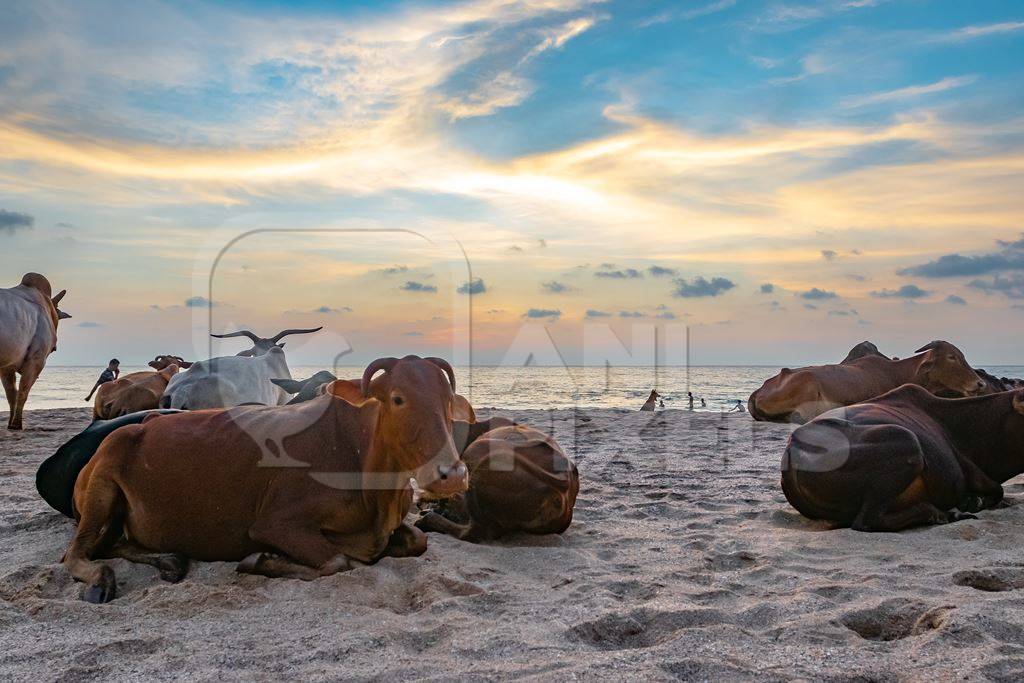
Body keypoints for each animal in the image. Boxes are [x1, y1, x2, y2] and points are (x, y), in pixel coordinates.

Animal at [0, 270, 71, 428]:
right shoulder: (36, 360)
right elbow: (22, 392)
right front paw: (16, 424)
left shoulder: (7, 365)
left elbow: (11, 394)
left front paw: (10, 424)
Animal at [59, 358, 468, 602]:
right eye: (397, 398)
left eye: (448, 399)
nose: (451, 474)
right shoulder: (276, 523)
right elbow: (338, 561)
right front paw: (262, 561)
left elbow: (418, 541)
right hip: (102, 485)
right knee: (76, 554)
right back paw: (102, 580)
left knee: (112, 544)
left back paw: (170, 560)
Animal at [778, 385, 1024, 532]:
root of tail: (794, 447)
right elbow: (997, 490)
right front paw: (972, 502)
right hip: (908, 440)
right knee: (867, 521)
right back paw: (943, 514)